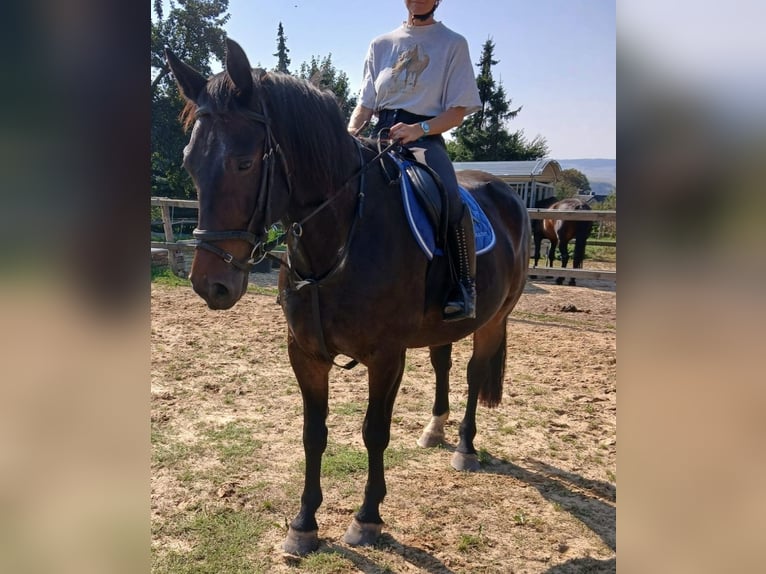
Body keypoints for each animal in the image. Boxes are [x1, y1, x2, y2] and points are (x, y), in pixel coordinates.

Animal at [166, 37, 532, 560]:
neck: (341, 239)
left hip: (494, 319)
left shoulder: (386, 356)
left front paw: (367, 519)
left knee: (473, 371)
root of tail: (506, 193)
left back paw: (464, 447)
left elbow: (373, 433)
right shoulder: (305, 354)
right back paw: (435, 429)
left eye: (244, 162)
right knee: (442, 362)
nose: (209, 284)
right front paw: (303, 525)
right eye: (189, 163)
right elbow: (313, 434)